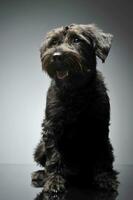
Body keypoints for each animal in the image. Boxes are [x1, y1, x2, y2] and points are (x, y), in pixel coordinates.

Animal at [32, 23, 118, 194]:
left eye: (77, 40)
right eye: (54, 42)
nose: (57, 56)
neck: (75, 90)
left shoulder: (100, 126)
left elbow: (102, 156)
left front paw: (105, 179)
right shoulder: (51, 127)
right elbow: (54, 157)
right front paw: (54, 181)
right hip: (39, 148)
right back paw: (41, 174)